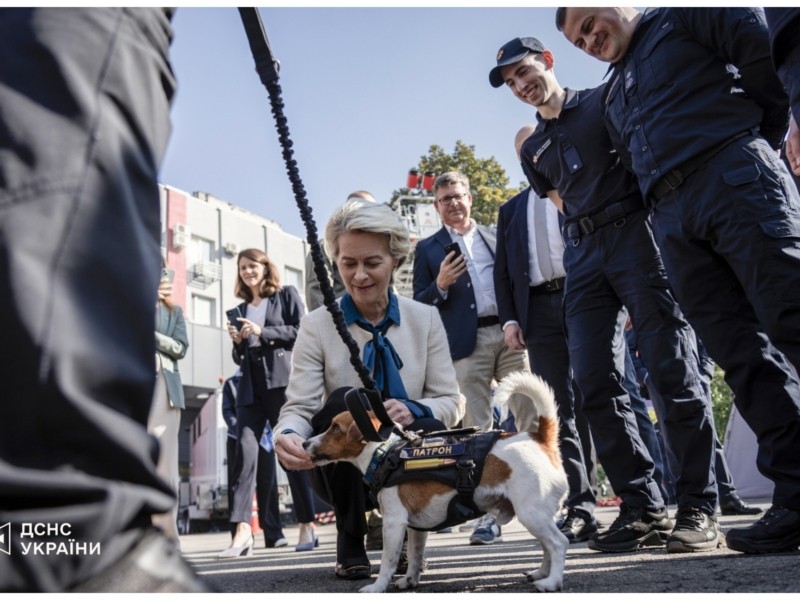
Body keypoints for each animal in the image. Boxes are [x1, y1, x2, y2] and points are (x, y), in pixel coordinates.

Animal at [300, 370, 568, 592]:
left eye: (336, 428)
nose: (304, 443)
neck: (384, 454)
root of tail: (539, 439)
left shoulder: (394, 522)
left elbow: (388, 560)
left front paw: (377, 587)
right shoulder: (415, 528)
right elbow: (414, 556)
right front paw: (410, 580)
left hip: (531, 513)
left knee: (558, 543)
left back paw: (552, 582)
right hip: (537, 516)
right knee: (547, 546)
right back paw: (541, 573)